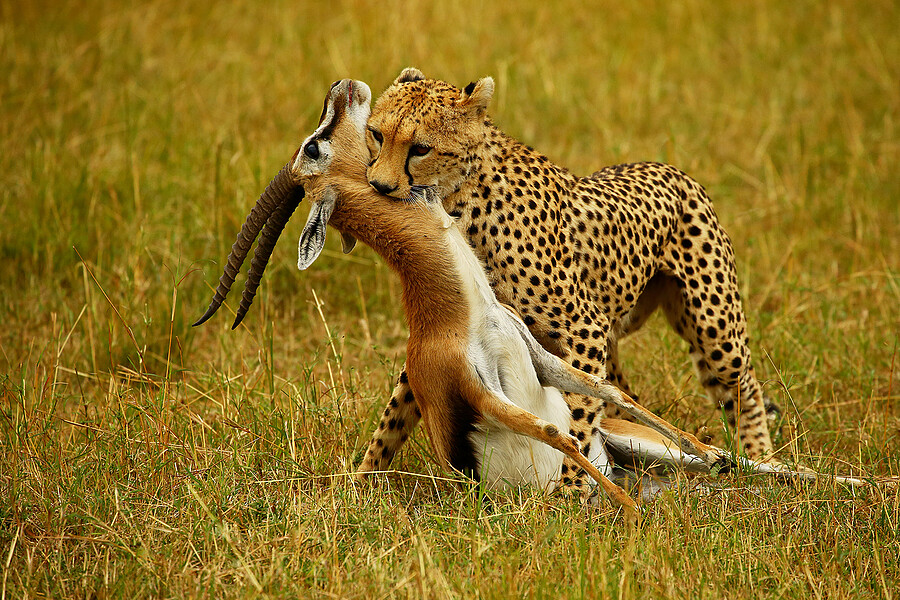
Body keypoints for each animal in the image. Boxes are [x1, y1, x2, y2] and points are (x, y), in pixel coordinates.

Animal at [356, 67, 779, 492]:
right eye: (376, 134)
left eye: (420, 148)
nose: (379, 186)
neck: (461, 194)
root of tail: (670, 168)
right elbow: (396, 411)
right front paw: (362, 481)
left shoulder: (583, 329)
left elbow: (578, 418)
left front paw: (571, 491)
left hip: (713, 326)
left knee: (743, 387)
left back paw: (760, 456)